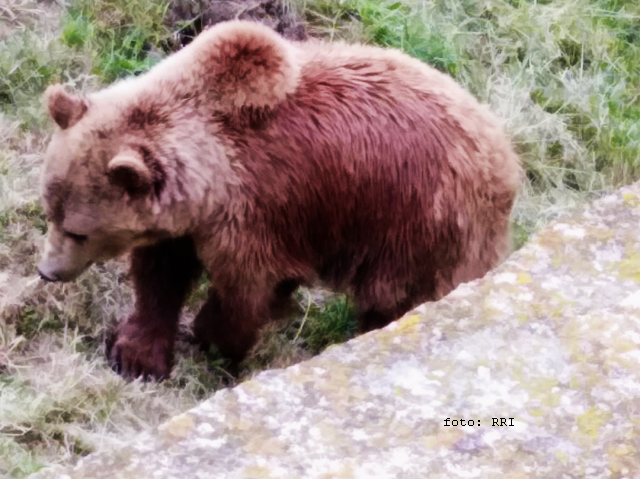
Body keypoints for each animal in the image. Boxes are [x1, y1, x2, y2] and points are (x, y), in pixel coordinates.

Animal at [37, 18, 524, 380]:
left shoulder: (260, 211)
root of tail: (505, 154)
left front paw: (213, 338)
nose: (48, 271)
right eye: (50, 214)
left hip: (418, 226)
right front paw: (135, 353)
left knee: (398, 297)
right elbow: (161, 276)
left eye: (78, 231)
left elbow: (247, 290)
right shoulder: (182, 221)